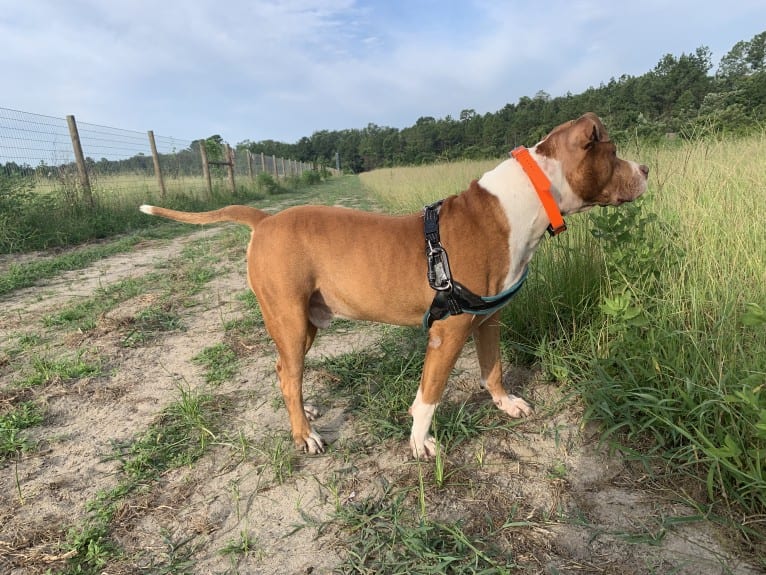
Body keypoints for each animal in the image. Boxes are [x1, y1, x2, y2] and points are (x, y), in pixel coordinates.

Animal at [141, 113, 652, 460]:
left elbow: (493, 369)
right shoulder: (449, 332)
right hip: (288, 318)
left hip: (305, 322)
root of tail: (264, 220)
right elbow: (429, 395)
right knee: (289, 376)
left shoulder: (488, 319)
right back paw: (305, 434)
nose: (647, 169)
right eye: (614, 153)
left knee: (283, 370)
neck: (525, 198)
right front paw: (419, 441)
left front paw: (505, 403)